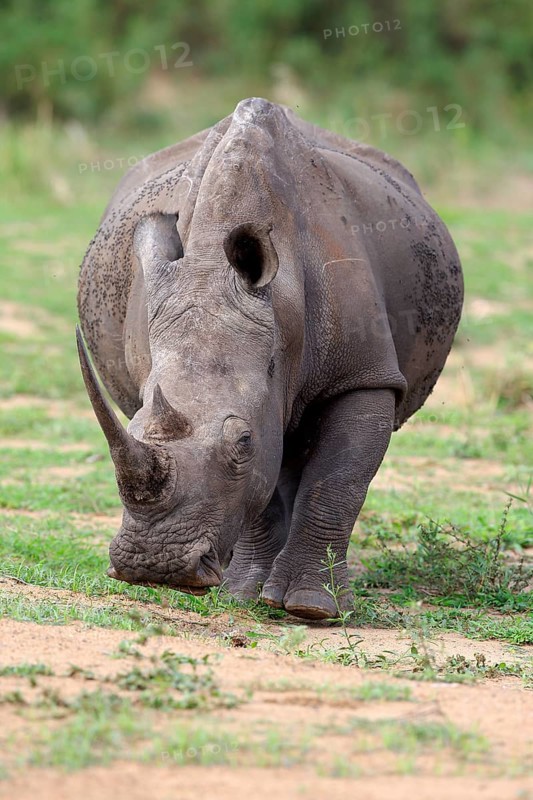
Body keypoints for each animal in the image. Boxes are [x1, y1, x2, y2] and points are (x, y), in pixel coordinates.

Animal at [77, 97, 463, 619]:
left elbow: (337, 481)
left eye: (242, 441)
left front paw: (312, 610)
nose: (154, 566)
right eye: (133, 428)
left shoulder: (364, 375)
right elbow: (261, 490)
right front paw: (242, 595)